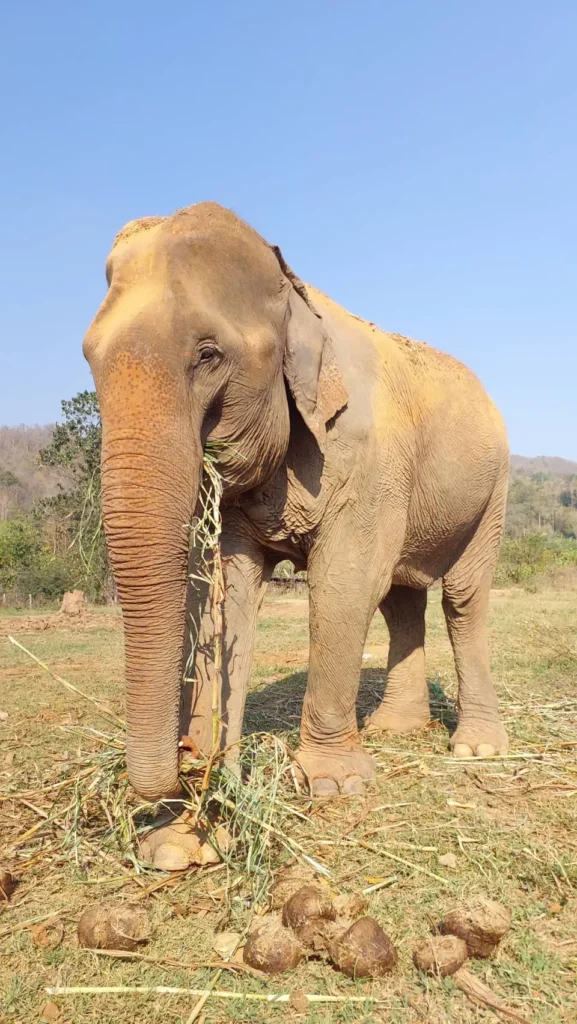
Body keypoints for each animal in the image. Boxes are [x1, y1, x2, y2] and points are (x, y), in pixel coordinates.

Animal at [83, 202, 509, 864]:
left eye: (208, 354)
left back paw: (476, 748)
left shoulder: (366, 460)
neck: (294, 287)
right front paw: (179, 841)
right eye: (89, 358)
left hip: (492, 489)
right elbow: (226, 597)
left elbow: (343, 584)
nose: (188, 766)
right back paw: (395, 729)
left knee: (463, 596)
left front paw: (333, 783)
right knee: (400, 600)